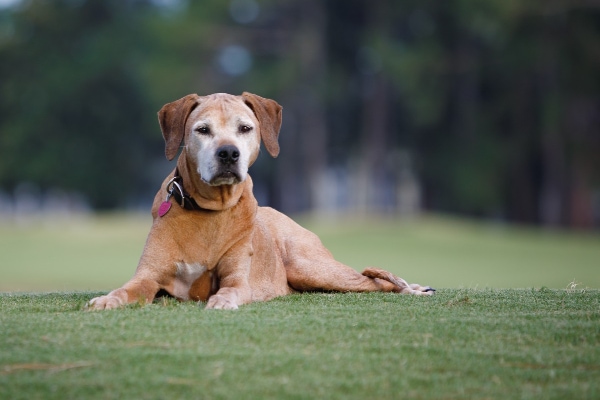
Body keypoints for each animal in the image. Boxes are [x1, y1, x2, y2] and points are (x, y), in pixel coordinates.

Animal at [88, 92, 436, 310]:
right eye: (202, 130)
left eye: (245, 128)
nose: (229, 153)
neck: (210, 211)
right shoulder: (149, 276)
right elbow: (131, 287)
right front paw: (109, 299)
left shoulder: (238, 277)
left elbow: (231, 287)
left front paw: (223, 301)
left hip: (311, 266)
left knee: (376, 281)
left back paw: (415, 290)